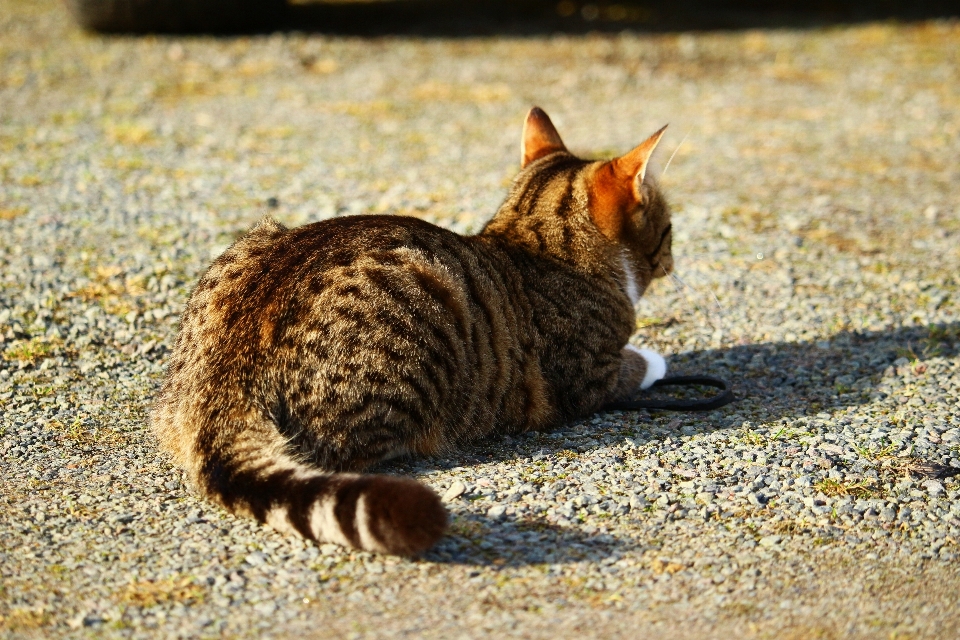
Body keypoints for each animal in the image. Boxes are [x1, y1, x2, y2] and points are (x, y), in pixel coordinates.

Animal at [152, 106, 676, 556]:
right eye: (669, 227)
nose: (674, 257)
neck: (540, 240)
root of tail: (223, 383)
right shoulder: (591, 378)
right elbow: (633, 365)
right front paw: (657, 360)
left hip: (256, 239)